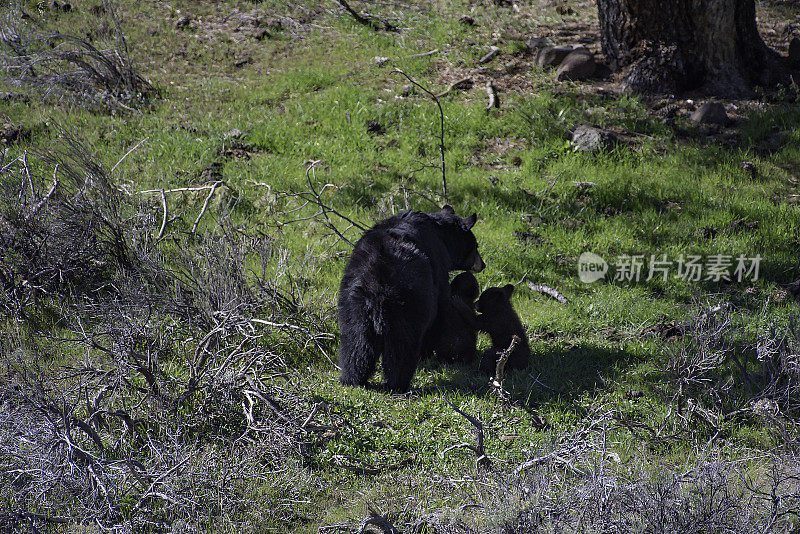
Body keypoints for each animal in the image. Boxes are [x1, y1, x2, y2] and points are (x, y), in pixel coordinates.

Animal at [336, 206, 482, 394]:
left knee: (356, 341)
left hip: (353, 301)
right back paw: (397, 383)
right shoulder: (438, 272)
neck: (440, 233)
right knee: (402, 347)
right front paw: (427, 355)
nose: (483, 264)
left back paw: (352, 379)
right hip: (406, 302)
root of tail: (378, 280)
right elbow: (439, 312)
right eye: (476, 245)